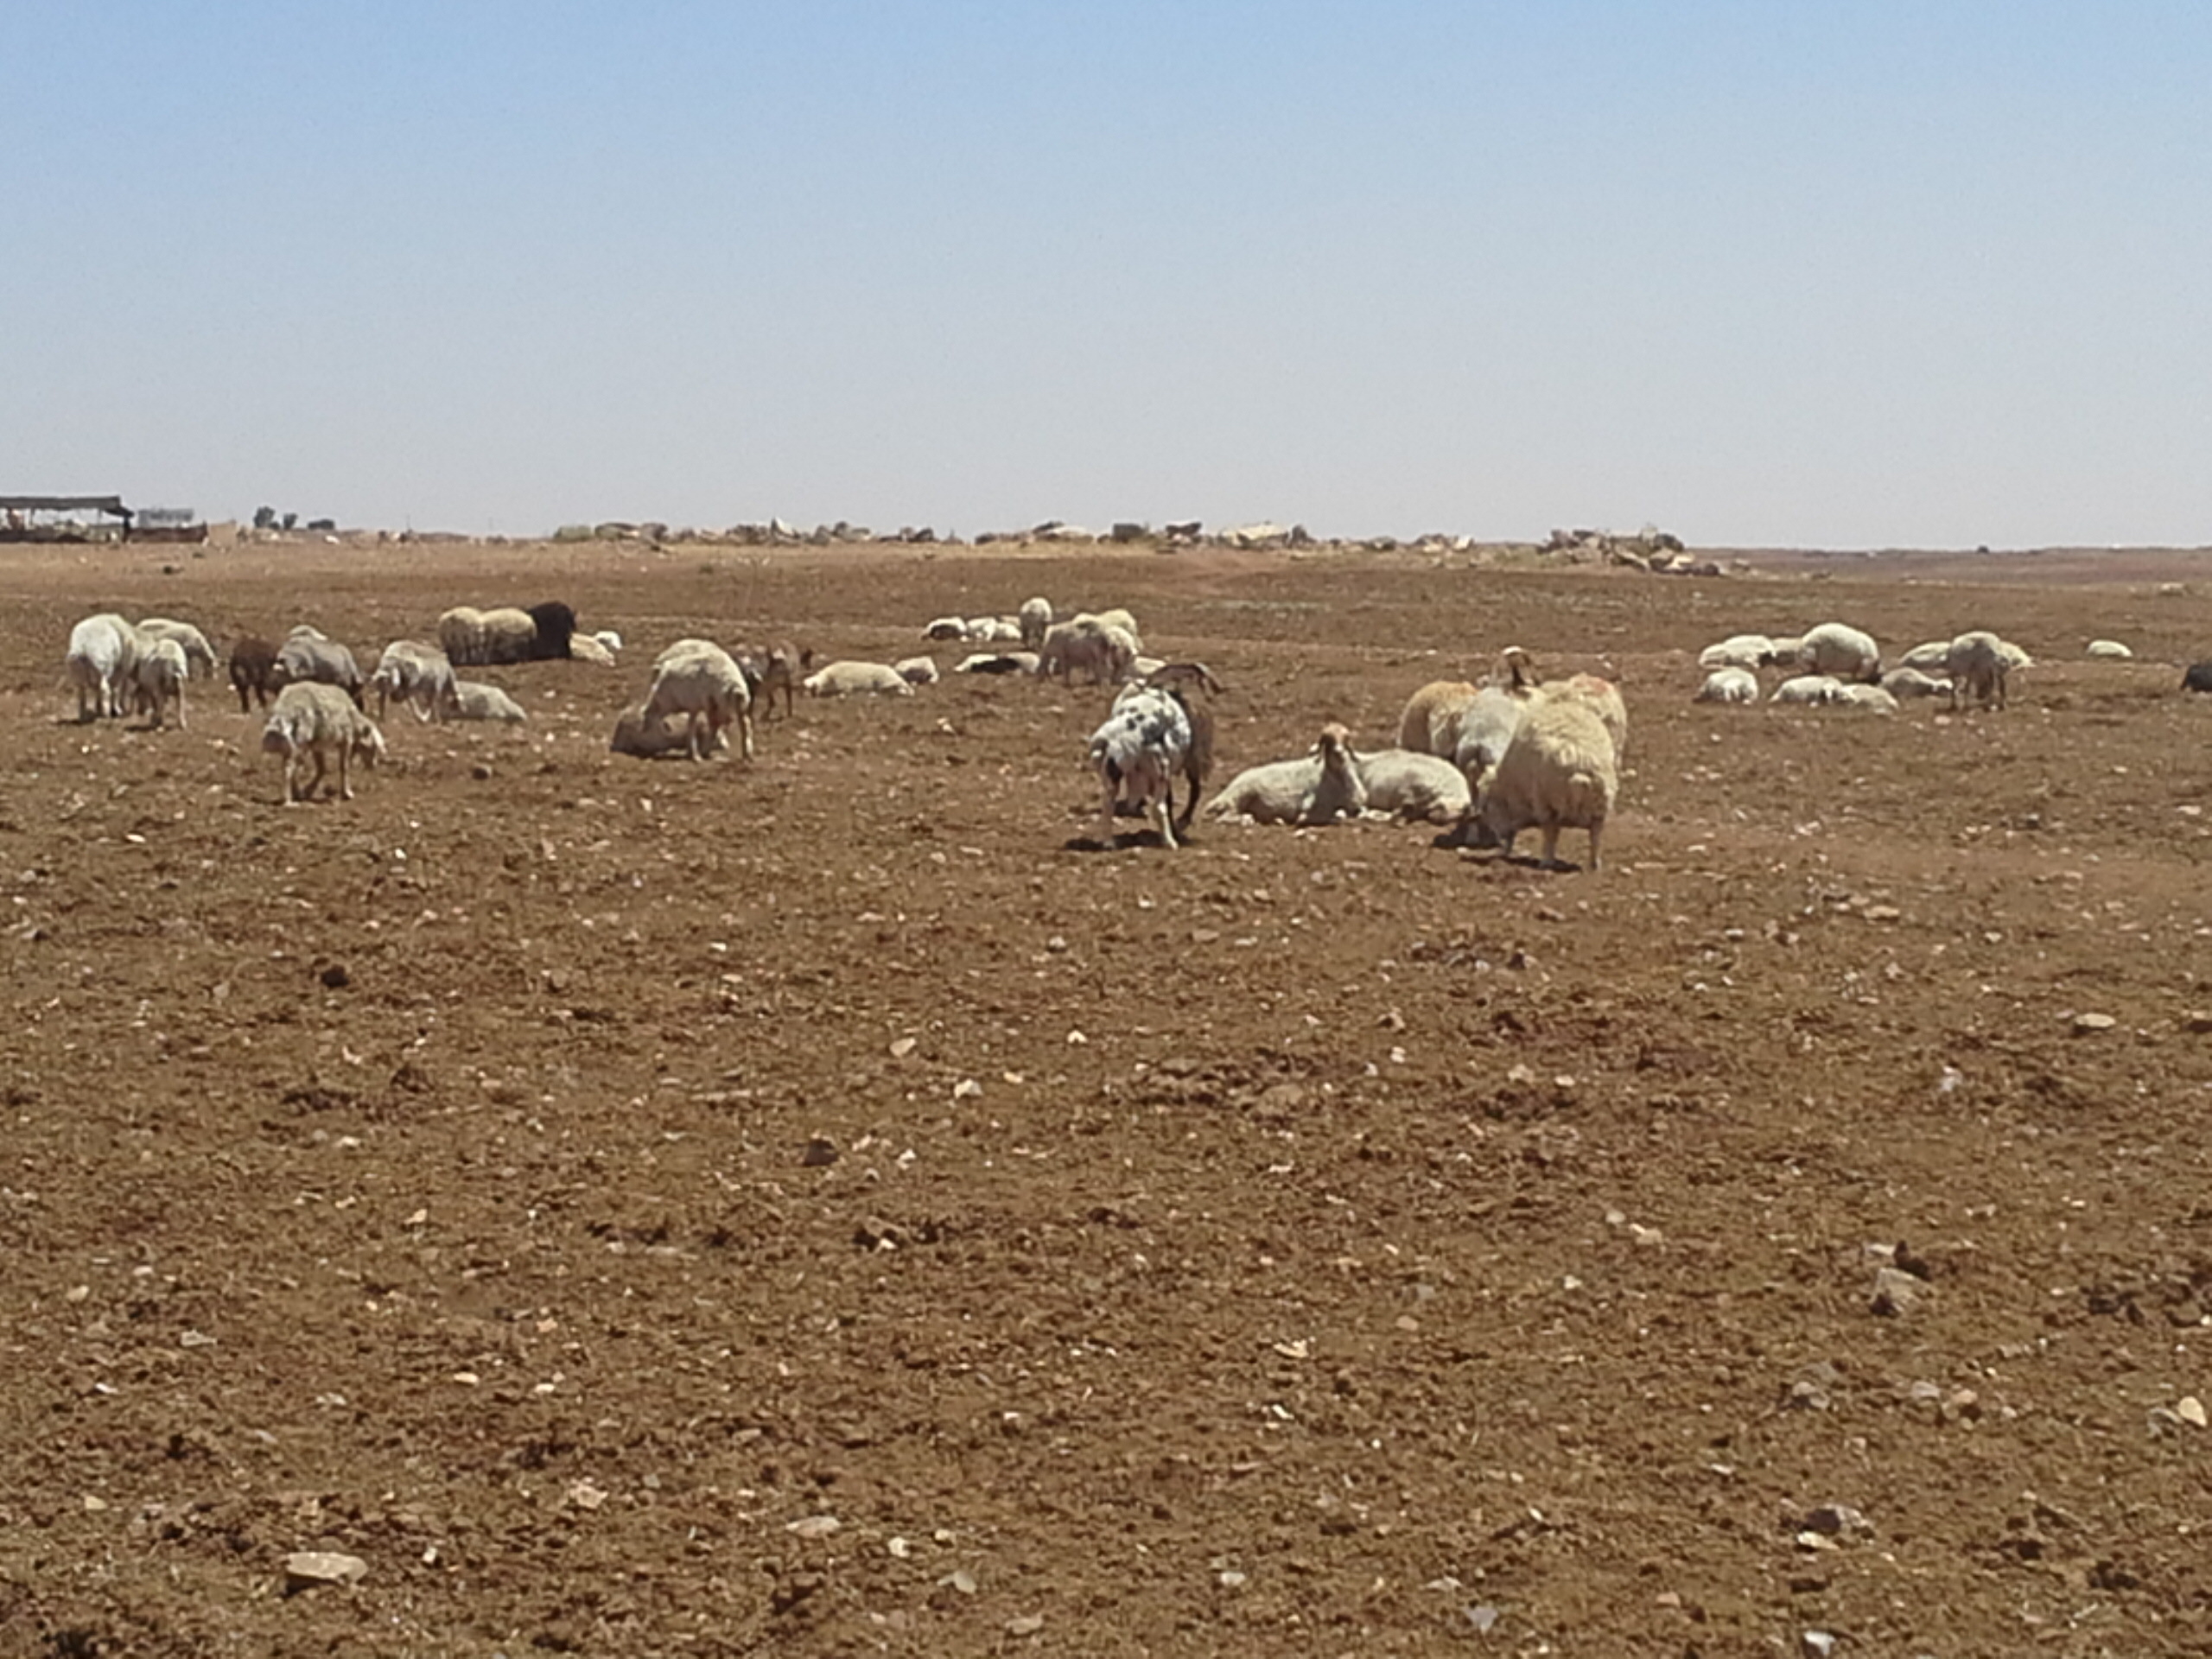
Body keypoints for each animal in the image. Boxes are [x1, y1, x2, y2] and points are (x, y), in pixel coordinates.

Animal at [262, 681, 386, 804]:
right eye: (374, 746)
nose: (374, 765)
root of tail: (285, 709)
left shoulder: (317, 746)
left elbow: (322, 769)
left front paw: (309, 791)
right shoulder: (346, 740)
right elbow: (344, 767)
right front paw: (347, 793)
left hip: (295, 745)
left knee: (291, 768)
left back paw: (297, 794)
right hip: (301, 742)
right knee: (289, 768)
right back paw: (288, 800)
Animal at [804, 661, 915, 697]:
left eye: (813, 688)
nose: (811, 697)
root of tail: (890, 669)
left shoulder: (845, 684)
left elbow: (846, 691)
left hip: (887, 679)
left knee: (902, 684)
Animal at [1084, 685, 1191, 849]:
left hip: (1112, 774)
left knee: (1108, 803)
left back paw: (1109, 843)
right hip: (1160, 770)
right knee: (1159, 807)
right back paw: (1170, 842)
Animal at [1204, 724, 1369, 826]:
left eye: (1345, 740)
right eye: (1328, 741)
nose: (1339, 753)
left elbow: (1359, 812)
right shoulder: (1312, 807)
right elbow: (1337, 815)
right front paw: (1301, 820)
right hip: (1239, 796)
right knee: (1223, 817)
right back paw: (1247, 819)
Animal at [1478, 696, 1617, 871]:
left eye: (1485, 808)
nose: (1500, 843)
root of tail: (1582, 763)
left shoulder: (1540, 805)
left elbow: (1550, 834)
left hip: (1547, 801)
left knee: (1551, 833)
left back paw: (1546, 862)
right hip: (1601, 809)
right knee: (1596, 836)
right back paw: (1594, 865)